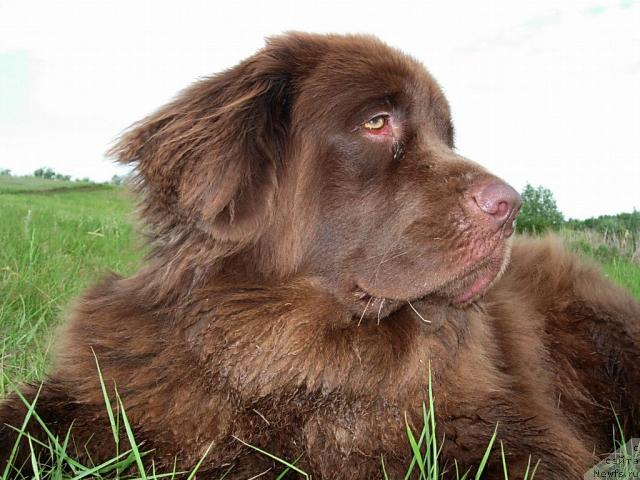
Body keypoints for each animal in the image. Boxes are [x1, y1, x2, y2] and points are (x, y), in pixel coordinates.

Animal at [1, 31, 640, 478]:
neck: (285, 354)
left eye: (446, 136)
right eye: (376, 122)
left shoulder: (498, 435)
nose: (509, 205)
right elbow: (25, 419)